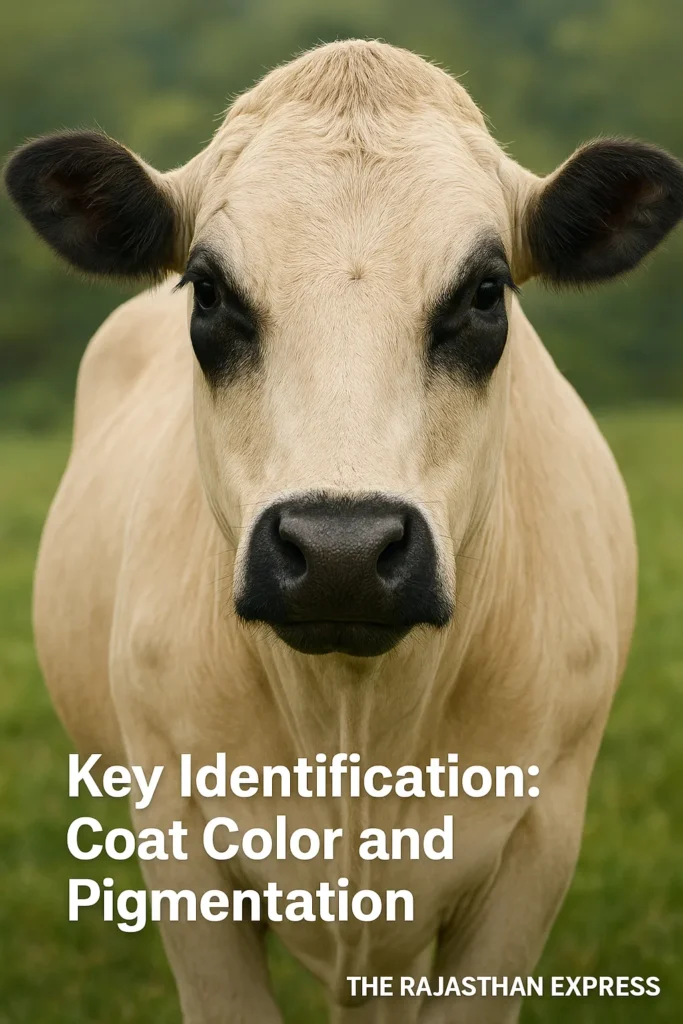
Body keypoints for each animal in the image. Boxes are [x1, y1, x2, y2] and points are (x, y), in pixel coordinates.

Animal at [5, 38, 683, 1024]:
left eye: (486, 292)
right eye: (207, 291)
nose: (341, 553)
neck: (356, 728)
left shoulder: (537, 839)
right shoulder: (176, 832)